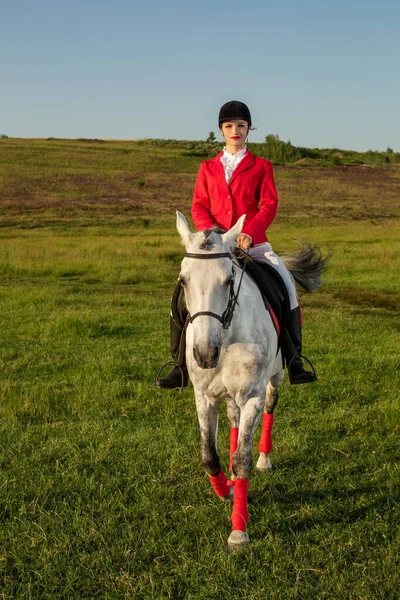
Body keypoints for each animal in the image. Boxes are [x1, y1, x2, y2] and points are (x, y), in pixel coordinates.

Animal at [175, 213, 322, 552]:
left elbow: (242, 459)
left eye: (228, 281)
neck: (227, 335)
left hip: (274, 379)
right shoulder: (204, 396)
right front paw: (226, 489)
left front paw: (239, 532)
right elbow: (209, 457)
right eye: (184, 281)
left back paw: (265, 460)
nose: (205, 354)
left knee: (269, 408)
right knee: (233, 419)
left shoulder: (252, 395)